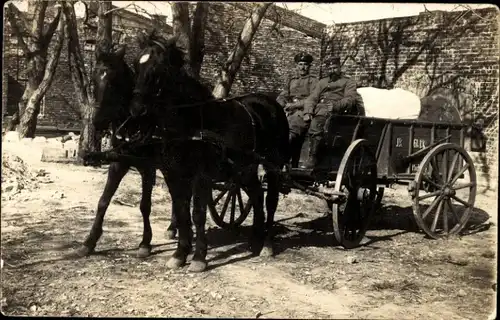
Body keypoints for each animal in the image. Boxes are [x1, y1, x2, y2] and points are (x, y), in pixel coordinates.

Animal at [76, 41, 178, 258]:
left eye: (114, 82)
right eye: (93, 81)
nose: (98, 122)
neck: (134, 123)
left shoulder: (148, 168)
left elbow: (145, 205)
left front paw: (145, 243)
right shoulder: (118, 163)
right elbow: (103, 200)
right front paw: (90, 240)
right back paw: (173, 227)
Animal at [129, 29, 290, 270]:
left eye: (159, 69)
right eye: (135, 66)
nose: (137, 110)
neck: (192, 120)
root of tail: (271, 104)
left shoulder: (201, 176)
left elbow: (197, 214)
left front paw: (198, 258)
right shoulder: (173, 174)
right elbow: (181, 211)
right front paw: (179, 254)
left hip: (273, 165)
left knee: (270, 201)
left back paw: (267, 245)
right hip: (245, 168)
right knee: (256, 195)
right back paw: (255, 239)